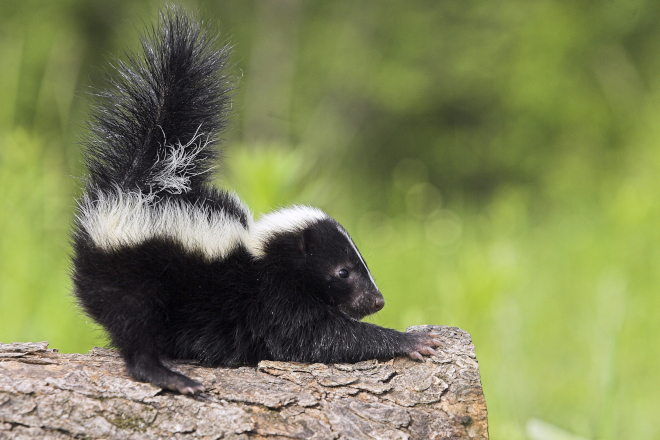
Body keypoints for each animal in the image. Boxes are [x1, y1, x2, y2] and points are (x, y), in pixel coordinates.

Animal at [71, 6, 438, 394]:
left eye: (362, 262)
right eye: (343, 271)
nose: (377, 300)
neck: (264, 256)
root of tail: (137, 187)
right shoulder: (274, 302)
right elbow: (316, 337)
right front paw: (411, 341)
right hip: (132, 280)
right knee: (134, 331)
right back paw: (171, 376)